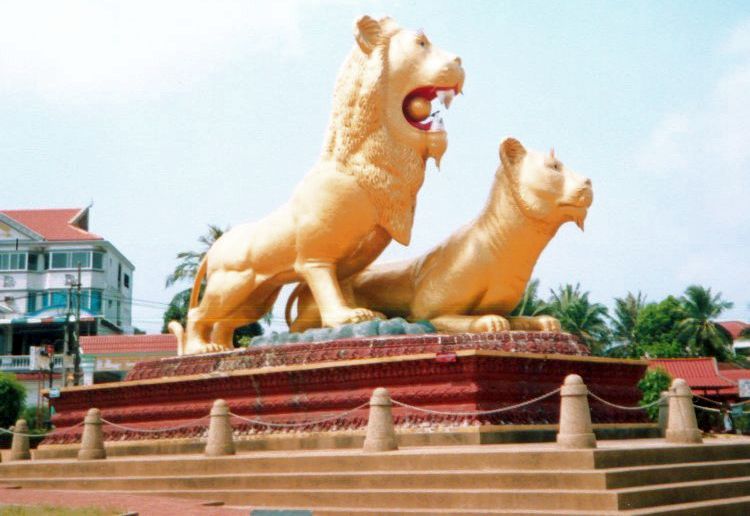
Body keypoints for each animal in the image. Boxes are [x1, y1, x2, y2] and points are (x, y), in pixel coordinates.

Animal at [170, 15, 464, 354]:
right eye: (421, 43)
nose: (459, 61)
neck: (367, 172)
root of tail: (214, 248)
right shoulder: (316, 257)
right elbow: (326, 289)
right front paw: (345, 318)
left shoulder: (350, 262)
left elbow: (345, 288)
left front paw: (365, 314)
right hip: (231, 284)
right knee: (199, 314)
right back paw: (200, 350)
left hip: (257, 296)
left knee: (223, 323)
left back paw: (226, 348)